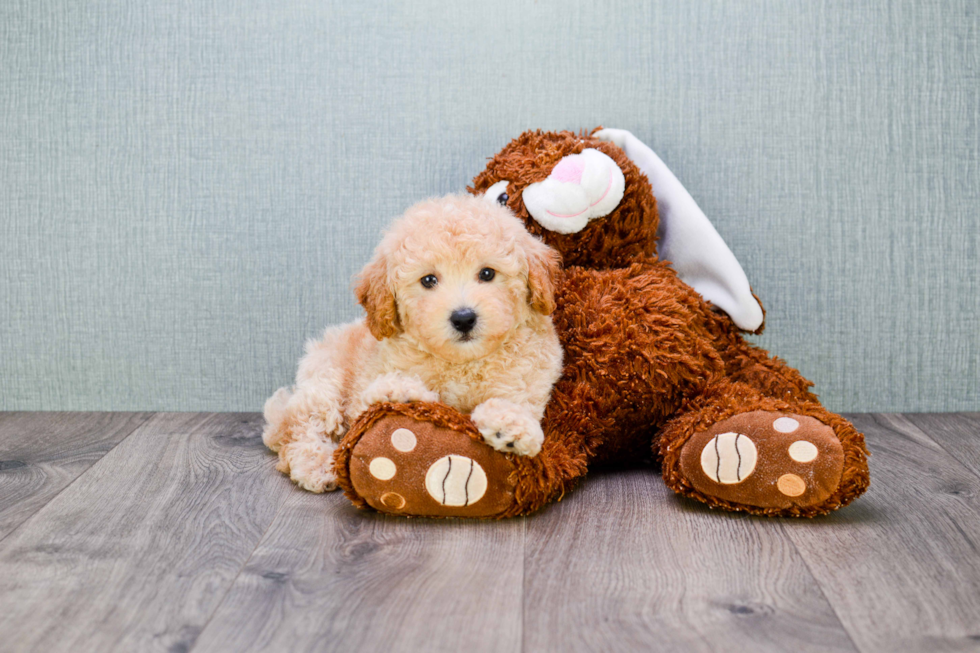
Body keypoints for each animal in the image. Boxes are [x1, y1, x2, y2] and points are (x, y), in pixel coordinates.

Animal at [264, 196, 564, 492]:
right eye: (428, 280)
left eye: (488, 274)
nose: (463, 318)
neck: (462, 363)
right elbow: (381, 393)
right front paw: (401, 391)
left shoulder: (529, 380)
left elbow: (516, 402)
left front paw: (510, 424)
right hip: (323, 382)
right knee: (299, 429)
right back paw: (316, 467)